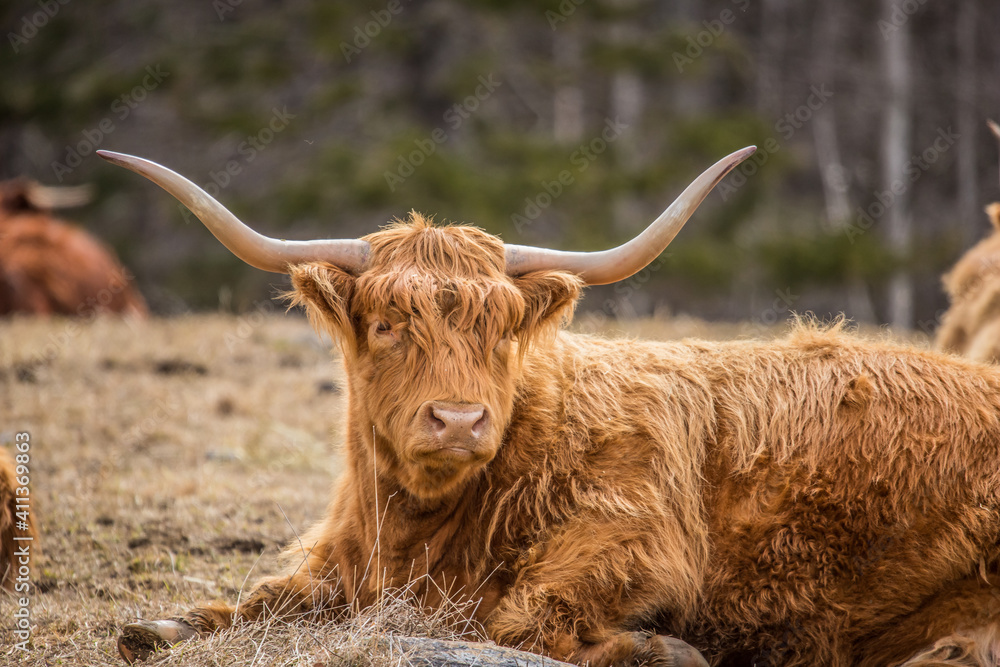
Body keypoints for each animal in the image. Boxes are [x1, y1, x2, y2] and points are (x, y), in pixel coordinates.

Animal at [95, 149, 1000, 667]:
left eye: (501, 328)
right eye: (387, 324)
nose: (459, 420)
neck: (421, 525)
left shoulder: (634, 534)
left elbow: (518, 619)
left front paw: (661, 647)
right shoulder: (340, 564)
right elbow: (252, 601)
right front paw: (155, 627)